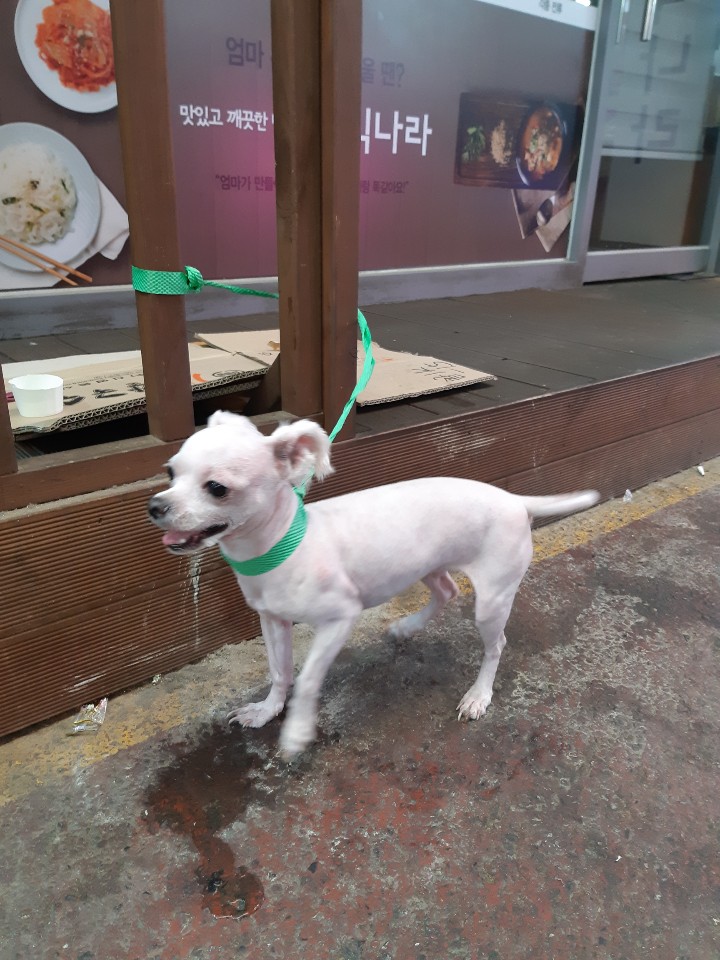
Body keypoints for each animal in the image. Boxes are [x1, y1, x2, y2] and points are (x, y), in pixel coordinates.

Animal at [148, 411, 599, 757]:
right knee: (447, 591)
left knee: (496, 645)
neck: (285, 546)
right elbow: (280, 672)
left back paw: (478, 695)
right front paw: (266, 711)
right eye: (170, 473)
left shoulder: (339, 619)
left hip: (492, 602)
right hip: (426, 564)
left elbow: (307, 679)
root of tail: (514, 499)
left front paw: (296, 731)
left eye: (217, 488)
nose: (155, 505)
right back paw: (408, 627)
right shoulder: (273, 622)